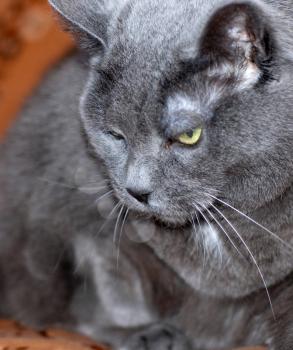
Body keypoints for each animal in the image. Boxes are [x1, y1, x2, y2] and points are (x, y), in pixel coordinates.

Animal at [0, 0, 292, 348]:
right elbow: (108, 291)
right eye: (115, 135)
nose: (136, 190)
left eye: (188, 136)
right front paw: (145, 332)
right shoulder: (85, 220)